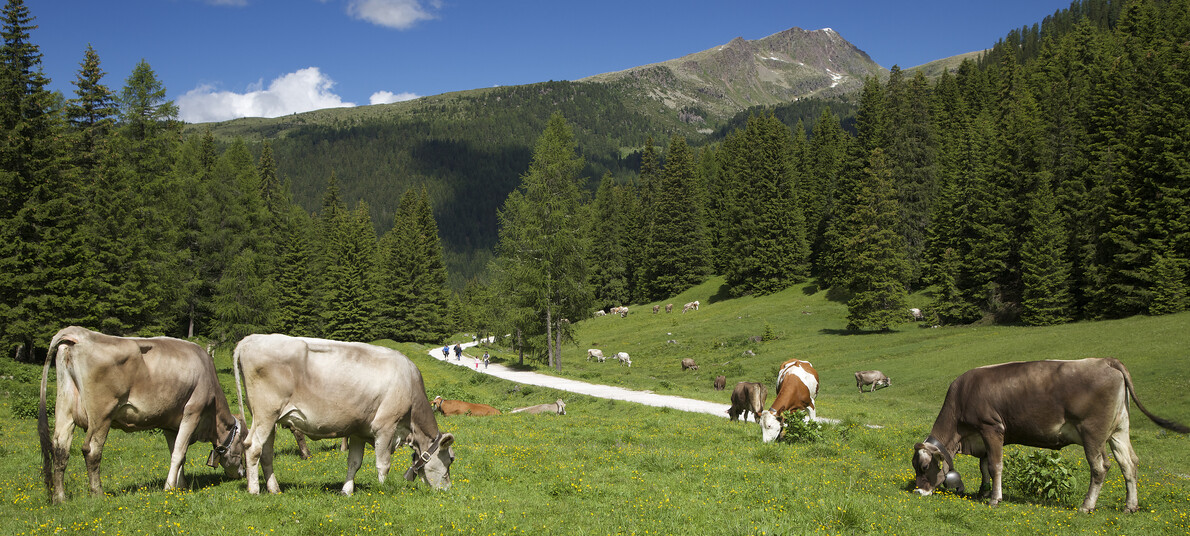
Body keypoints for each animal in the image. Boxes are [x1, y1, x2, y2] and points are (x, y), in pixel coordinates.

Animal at [37, 323, 246, 505]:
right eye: (242, 447)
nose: (242, 473)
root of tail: (78, 333)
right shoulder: (192, 413)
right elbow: (179, 453)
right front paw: (169, 488)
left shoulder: (171, 424)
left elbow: (178, 453)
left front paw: (181, 485)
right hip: (102, 414)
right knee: (92, 450)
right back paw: (98, 494)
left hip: (64, 409)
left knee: (60, 449)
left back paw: (60, 498)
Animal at [233, 335, 454, 493]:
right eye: (451, 459)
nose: (448, 489)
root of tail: (249, 339)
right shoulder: (385, 427)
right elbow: (383, 464)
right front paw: (384, 489)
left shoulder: (358, 430)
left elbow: (354, 463)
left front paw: (346, 491)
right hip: (266, 413)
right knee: (253, 448)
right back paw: (254, 490)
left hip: (270, 418)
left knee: (266, 452)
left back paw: (274, 489)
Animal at [913, 357, 1185, 512]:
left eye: (925, 466)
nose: (918, 492)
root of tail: (1106, 360)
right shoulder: (982, 435)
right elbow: (983, 466)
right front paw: (983, 491)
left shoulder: (991, 428)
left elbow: (995, 465)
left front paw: (994, 499)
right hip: (1119, 429)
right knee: (1129, 463)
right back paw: (1130, 506)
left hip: (1093, 433)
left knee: (1100, 467)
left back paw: (1086, 506)